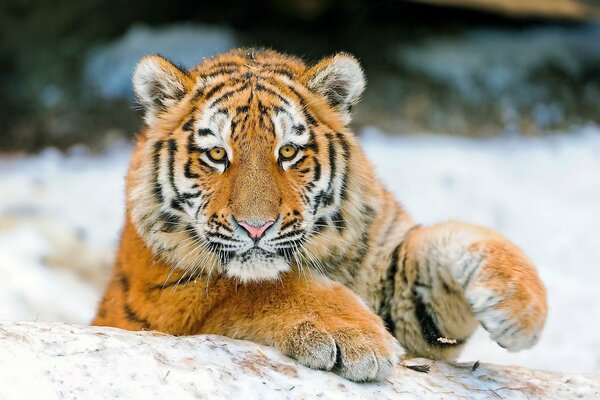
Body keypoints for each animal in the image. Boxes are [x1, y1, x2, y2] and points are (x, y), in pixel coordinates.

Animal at [94, 48, 548, 382]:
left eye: (288, 152)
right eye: (217, 155)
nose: (256, 227)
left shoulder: (395, 280)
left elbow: (449, 239)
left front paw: (520, 305)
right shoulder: (167, 297)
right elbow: (256, 287)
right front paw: (356, 338)